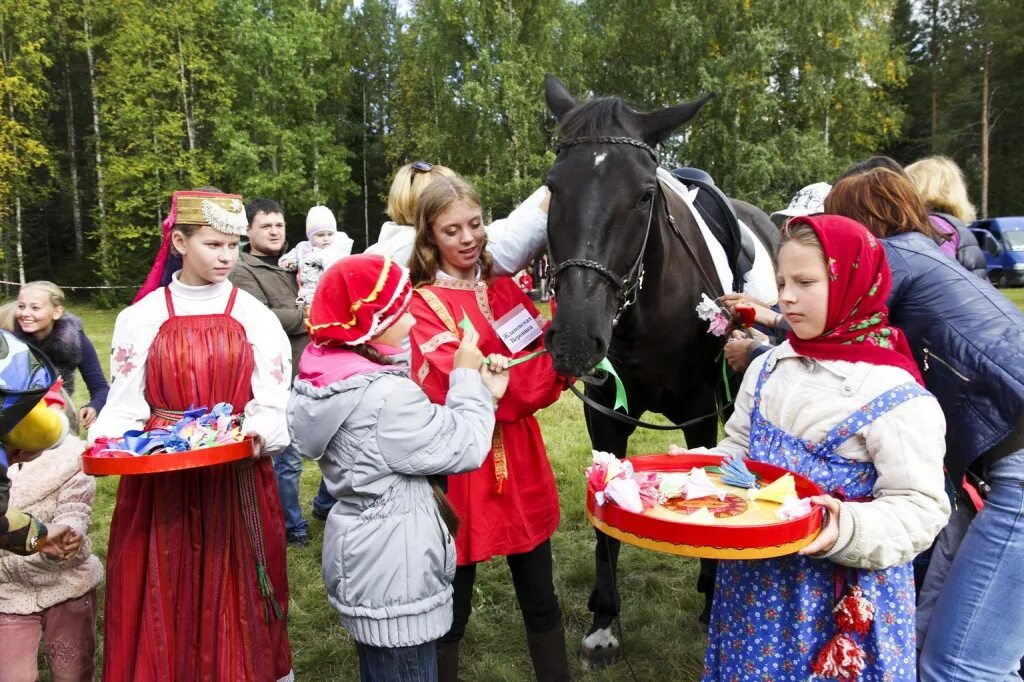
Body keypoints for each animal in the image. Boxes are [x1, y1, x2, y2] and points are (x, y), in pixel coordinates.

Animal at [544, 74, 774, 663]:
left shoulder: (700, 415)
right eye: (553, 188)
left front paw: (714, 596)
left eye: (645, 195)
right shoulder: (605, 415)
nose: (575, 338)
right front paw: (604, 620)